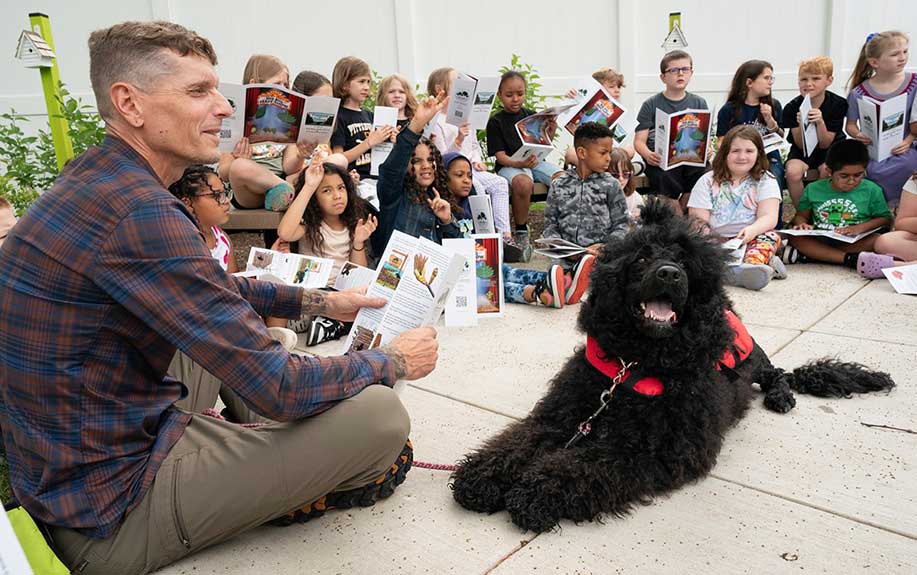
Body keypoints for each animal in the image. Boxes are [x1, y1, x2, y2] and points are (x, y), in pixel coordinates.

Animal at [450, 199, 896, 536]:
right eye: (642, 256)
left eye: (686, 262)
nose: (669, 273)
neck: (634, 364)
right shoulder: (560, 415)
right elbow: (517, 442)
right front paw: (483, 476)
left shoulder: (662, 451)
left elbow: (585, 465)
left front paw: (536, 493)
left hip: (756, 362)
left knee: (779, 375)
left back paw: (781, 397)